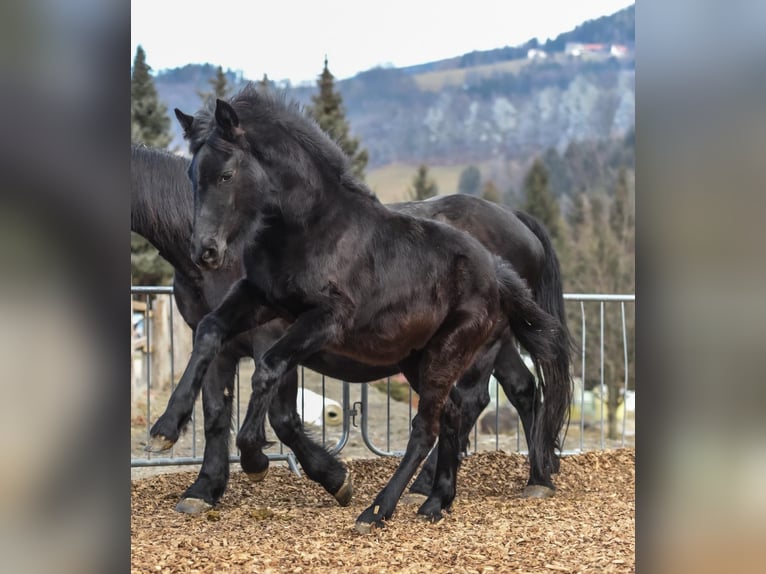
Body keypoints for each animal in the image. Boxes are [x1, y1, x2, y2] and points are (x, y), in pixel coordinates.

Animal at [146, 84, 568, 532]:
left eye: (226, 175)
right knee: (455, 412)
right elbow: (210, 332)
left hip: (449, 353)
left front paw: (258, 457)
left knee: (429, 425)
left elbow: (269, 373)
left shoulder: (323, 320)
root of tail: (498, 271)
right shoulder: (258, 298)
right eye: (193, 176)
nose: (205, 251)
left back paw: (379, 510)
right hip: (419, 359)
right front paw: (165, 430)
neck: (310, 231)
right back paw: (437, 500)